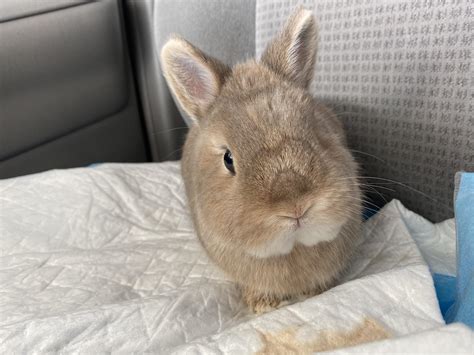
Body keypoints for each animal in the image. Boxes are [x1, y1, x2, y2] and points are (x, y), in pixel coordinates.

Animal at [159, 7, 362, 314]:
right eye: (228, 159)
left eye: (318, 129)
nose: (296, 208)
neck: (293, 250)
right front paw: (264, 306)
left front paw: (316, 292)